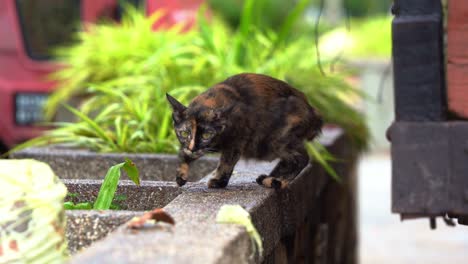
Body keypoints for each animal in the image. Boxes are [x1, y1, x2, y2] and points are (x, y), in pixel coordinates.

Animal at [166, 73, 324, 189]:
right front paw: (181, 175)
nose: (192, 148)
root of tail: (314, 112)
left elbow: (226, 162)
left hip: (276, 140)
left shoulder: (237, 140)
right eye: (184, 133)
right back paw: (270, 177)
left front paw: (218, 181)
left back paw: (278, 181)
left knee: (302, 158)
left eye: (206, 135)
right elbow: (184, 154)